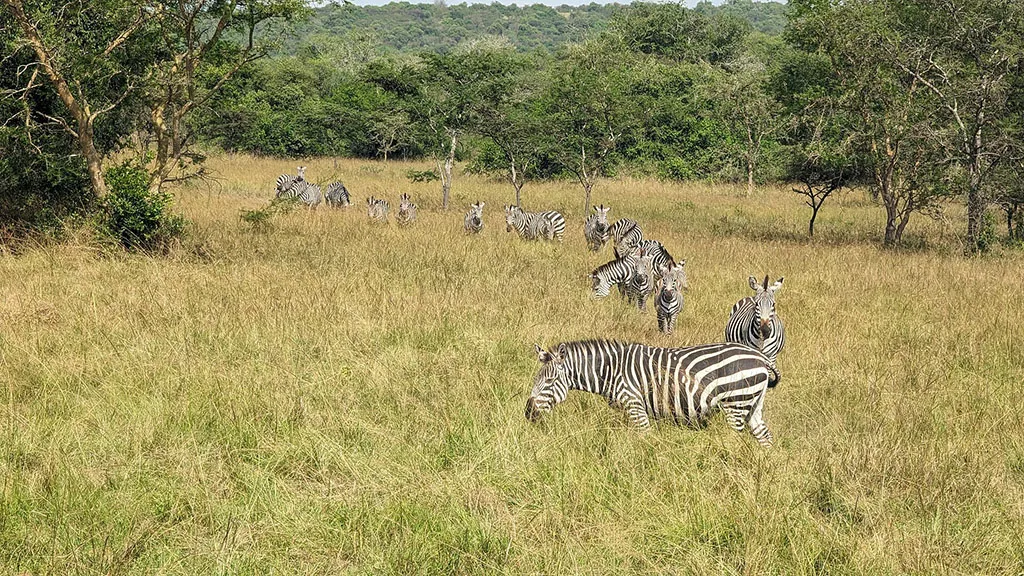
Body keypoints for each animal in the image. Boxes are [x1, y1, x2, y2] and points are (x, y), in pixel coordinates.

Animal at [525, 340, 779, 447]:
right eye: (536, 379)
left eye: (549, 381)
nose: (528, 413)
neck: (611, 370)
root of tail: (761, 357)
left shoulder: (634, 404)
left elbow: (644, 439)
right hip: (753, 403)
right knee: (764, 437)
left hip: (736, 402)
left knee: (735, 440)